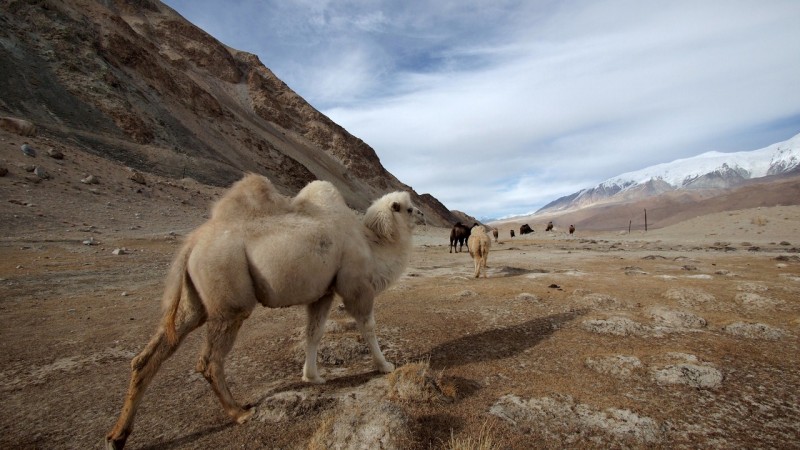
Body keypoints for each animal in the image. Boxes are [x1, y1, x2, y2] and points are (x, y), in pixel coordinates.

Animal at [104, 175, 424, 450]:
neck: (372, 245)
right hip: (229, 297)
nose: (422, 214)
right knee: (209, 360)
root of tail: (191, 244)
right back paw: (239, 412)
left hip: (194, 301)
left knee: (152, 353)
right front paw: (384, 366)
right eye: (408, 208)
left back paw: (117, 436)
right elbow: (367, 326)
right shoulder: (355, 286)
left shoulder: (323, 292)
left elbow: (314, 332)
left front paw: (312, 377)